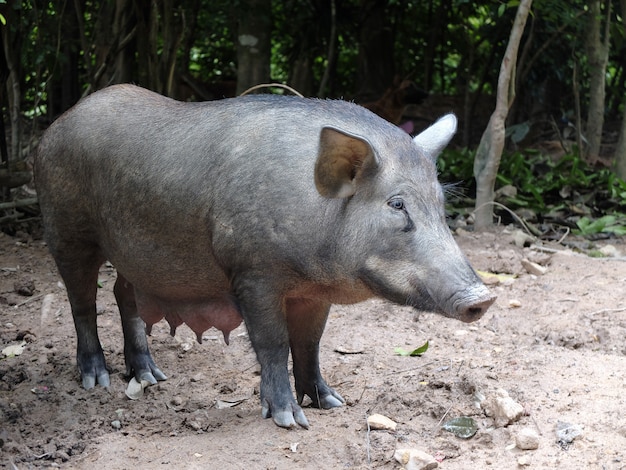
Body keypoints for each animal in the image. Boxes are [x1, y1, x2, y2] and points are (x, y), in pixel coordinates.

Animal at [33, 84, 492, 430]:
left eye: (440, 203)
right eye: (396, 205)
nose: (483, 297)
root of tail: (54, 126)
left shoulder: (313, 293)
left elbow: (310, 343)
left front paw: (331, 403)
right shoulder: (253, 273)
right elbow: (274, 342)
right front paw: (290, 421)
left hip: (133, 253)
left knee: (122, 294)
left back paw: (151, 377)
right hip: (65, 229)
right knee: (82, 301)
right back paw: (96, 380)